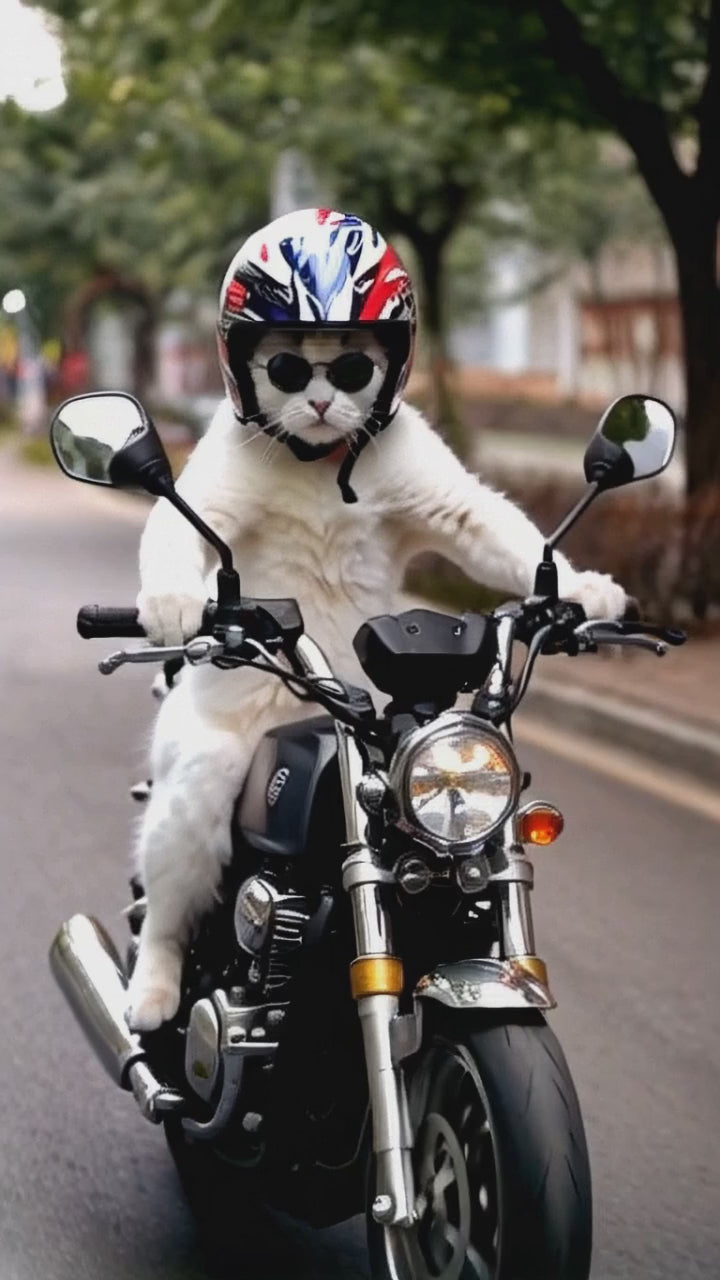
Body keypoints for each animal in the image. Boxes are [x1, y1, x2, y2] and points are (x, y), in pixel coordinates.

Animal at [127, 330, 622, 1029]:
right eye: (286, 367)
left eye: (354, 368)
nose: (321, 402)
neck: (320, 461)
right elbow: (182, 524)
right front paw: (170, 601)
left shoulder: (432, 486)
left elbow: (482, 522)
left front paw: (582, 590)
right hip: (196, 778)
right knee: (171, 886)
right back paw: (151, 989)